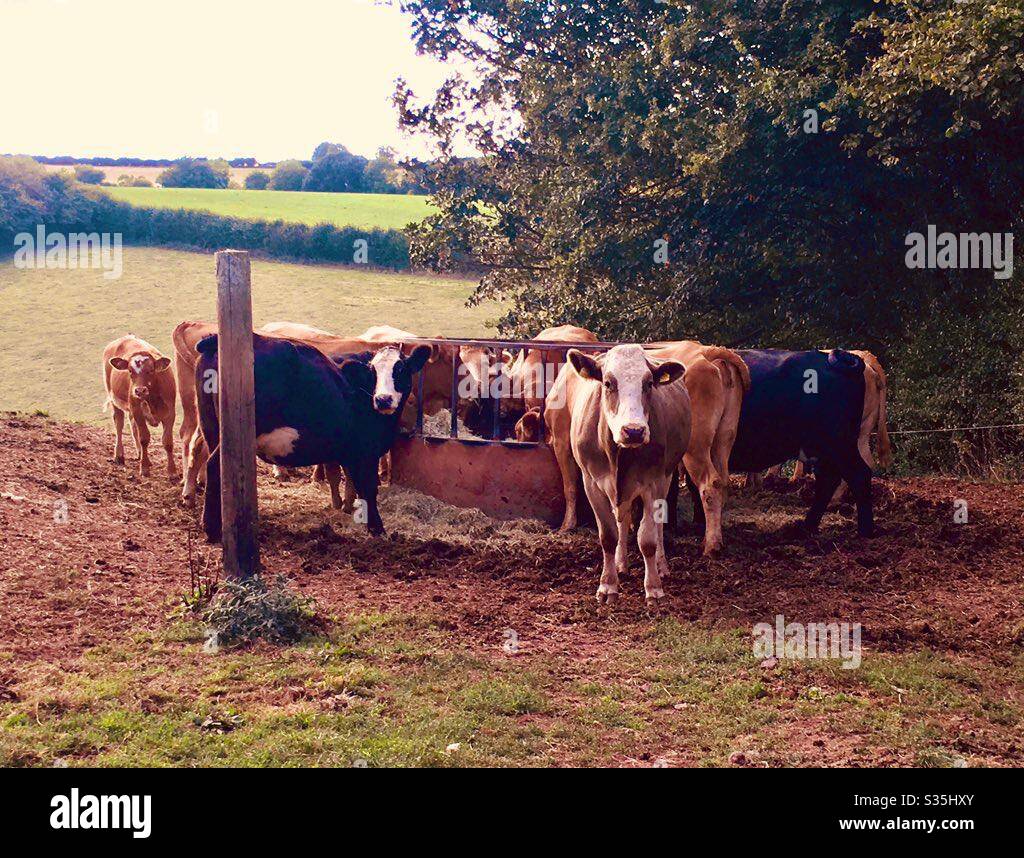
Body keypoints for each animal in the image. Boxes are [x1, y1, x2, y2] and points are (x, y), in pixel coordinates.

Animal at [102, 335, 177, 480]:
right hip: (115, 399)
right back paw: (119, 455)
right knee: (119, 424)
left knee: (132, 425)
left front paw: (172, 472)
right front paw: (144, 468)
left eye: (151, 370)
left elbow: (168, 442)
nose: (139, 390)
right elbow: (144, 438)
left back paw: (139, 454)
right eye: (130, 371)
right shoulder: (138, 411)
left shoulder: (170, 413)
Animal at [195, 333, 430, 542]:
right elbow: (368, 488)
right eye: (372, 372)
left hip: (211, 429)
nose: (383, 399)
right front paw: (377, 529)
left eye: (400, 369)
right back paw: (212, 529)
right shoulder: (365, 452)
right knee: (215, 465)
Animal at [561, 345, 690, 605]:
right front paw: (608, 585)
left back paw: (661, 565)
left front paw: (654, 588)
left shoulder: (653, 482)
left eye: (649, 383)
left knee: (657, 526)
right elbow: (609, 535)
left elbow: (647, 539)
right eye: (608, 383)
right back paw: (621, 564)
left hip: (666, 477)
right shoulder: (591, 483)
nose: (634, 431)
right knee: (622, 518)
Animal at [730, 349, 874, 536]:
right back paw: (808, 526)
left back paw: (865, 531)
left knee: (858, 474)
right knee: (828, 479)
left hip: (839, 444)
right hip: (822, 449)